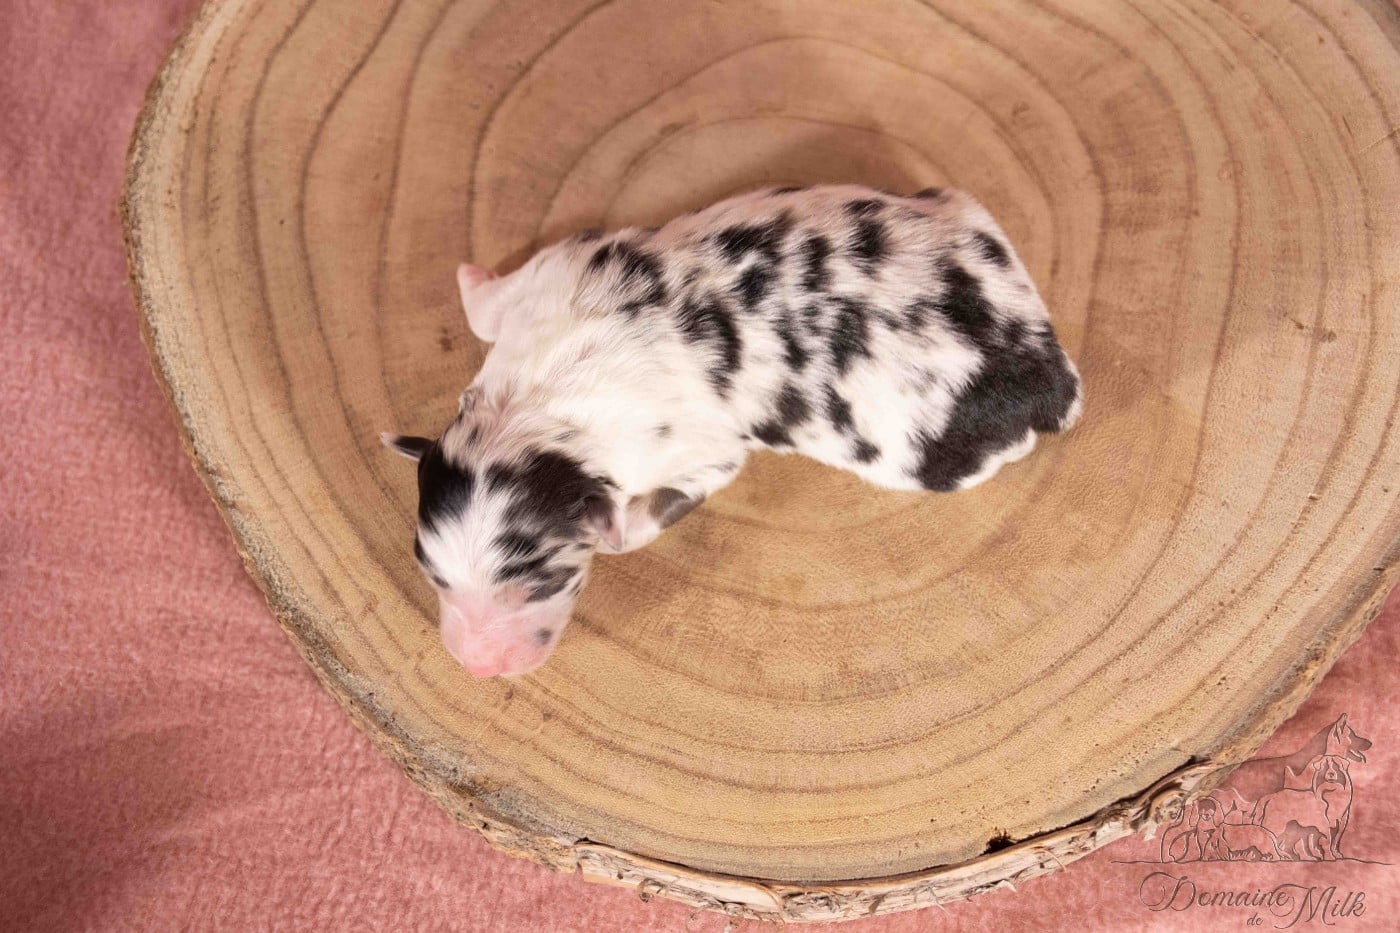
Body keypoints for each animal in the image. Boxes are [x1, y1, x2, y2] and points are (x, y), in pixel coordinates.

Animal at [383, 184, 1082, 676]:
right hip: (961, 211)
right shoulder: (551, 279)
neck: (539, 409)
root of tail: (1048, 370)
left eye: (546, 583)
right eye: (432, 575)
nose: (479, 669)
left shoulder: (702, 456)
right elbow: (492, 306)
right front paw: (471, 276)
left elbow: (641, 521)